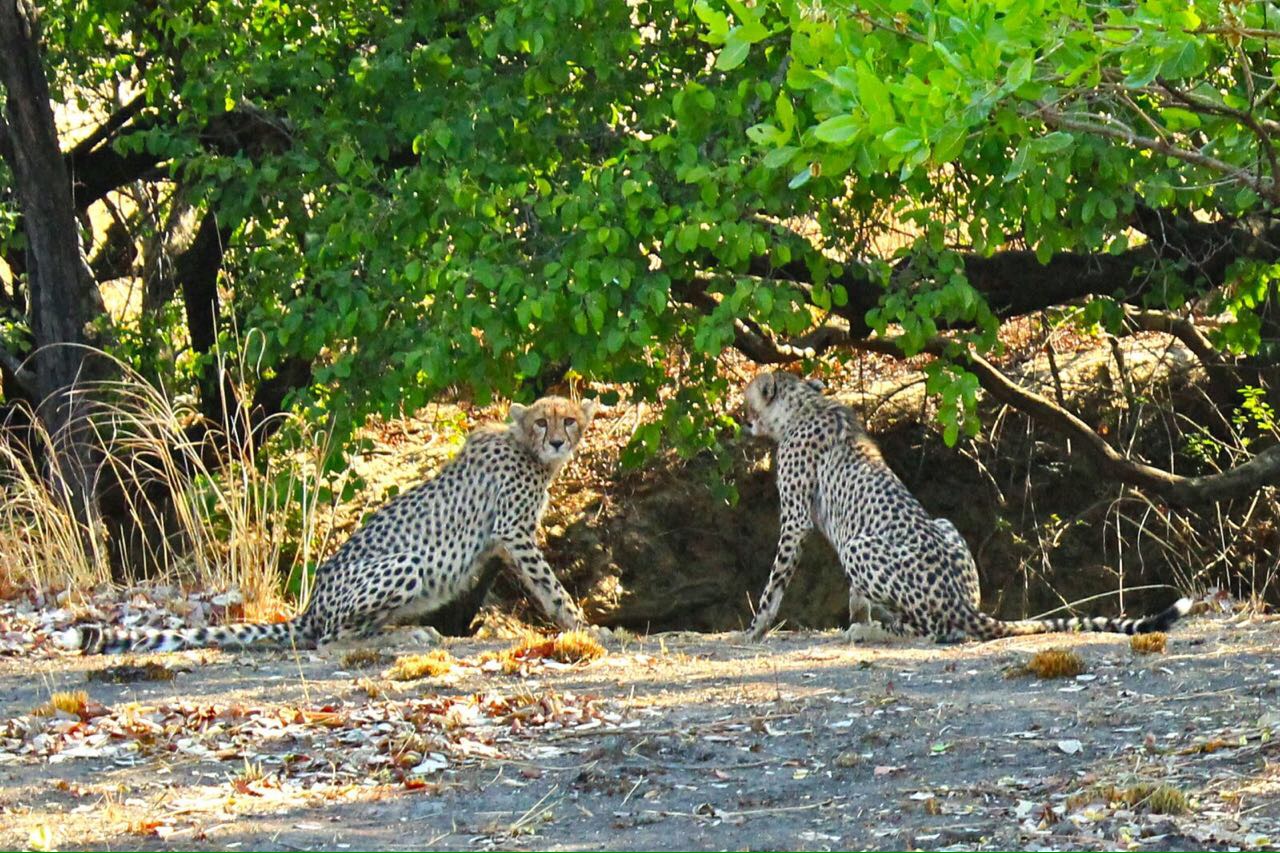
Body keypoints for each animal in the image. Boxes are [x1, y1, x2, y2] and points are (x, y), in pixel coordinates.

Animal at [59, 396, 597, 655]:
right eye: (543, 422)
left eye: (569, 420)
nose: (556, 441)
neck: (529, 452)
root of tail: (311, 605)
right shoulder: (513, 532)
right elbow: (550, 586)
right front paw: (583, 625)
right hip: (405, 563)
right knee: (330, 638)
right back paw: (404, 637)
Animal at [739, 370, 1191, 642]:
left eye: (747, 404)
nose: (743, 422)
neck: (804, 404)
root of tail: (961, 602)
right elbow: (854, 597)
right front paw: (858, 618)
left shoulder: (796, 519)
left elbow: (775, 582)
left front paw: (755, 629)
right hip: (943, 525)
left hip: (859, 547)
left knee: (933, 629)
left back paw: (880, 632)